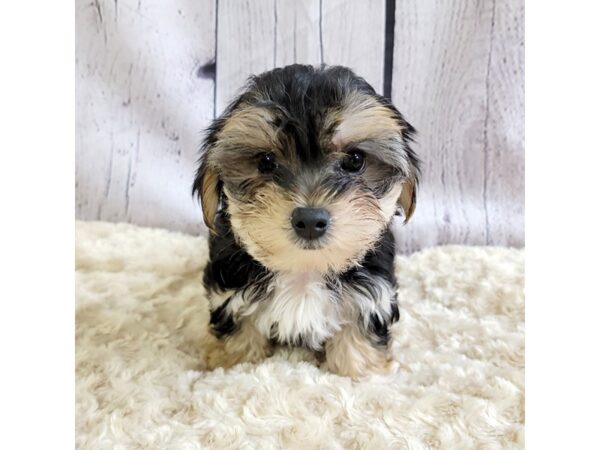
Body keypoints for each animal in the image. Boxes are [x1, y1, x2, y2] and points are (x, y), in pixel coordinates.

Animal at [195, 64, 420, 380]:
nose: (310, 220)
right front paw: (232, 364)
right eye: (265, 162)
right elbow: (239, 332)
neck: (304, 268)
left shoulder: (371, 294)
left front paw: (362, 370)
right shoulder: (229, 290)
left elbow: (358, 333)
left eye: (355, 160)